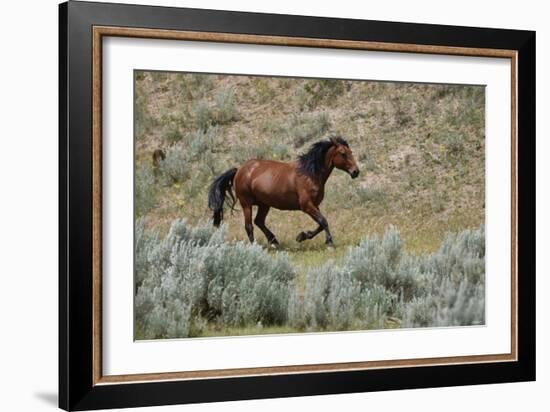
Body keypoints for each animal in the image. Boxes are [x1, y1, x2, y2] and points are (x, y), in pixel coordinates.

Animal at [209, 137, 360, 248]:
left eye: (351, 152)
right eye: (343, 154)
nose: (356, 172)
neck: (310, 175)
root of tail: (239, 170)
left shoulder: (314, 205)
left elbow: (321, 224)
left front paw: (301, 236)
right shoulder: (306, 206)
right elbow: (323, 221)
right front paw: (329, 242)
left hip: (264, 204)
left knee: (259, 221)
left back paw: (274, 242)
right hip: (246, 204)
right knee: (249, 226)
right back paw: (255, 246)